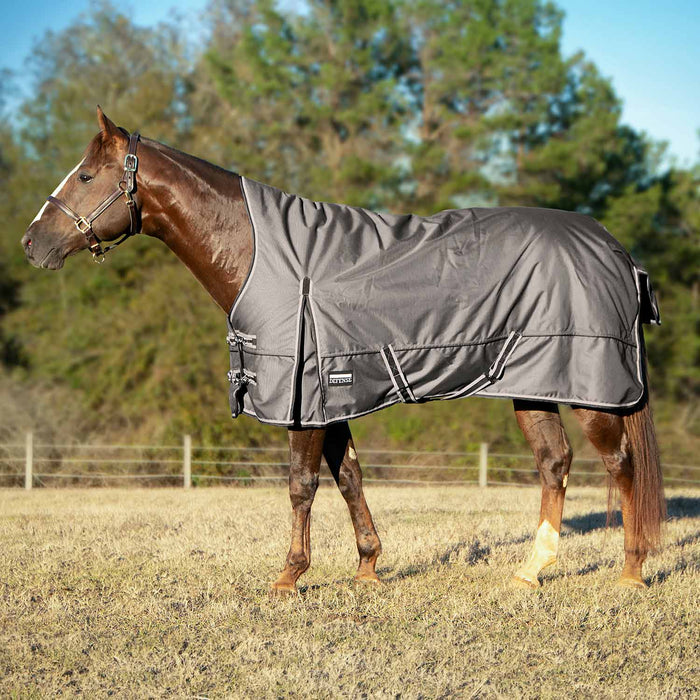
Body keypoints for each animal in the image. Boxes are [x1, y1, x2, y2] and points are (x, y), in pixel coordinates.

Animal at [22, 108, 666, 592]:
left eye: (85, 176)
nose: (32, 243)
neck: (263, 256)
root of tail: (616, 251)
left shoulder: (303, 398)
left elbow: (301, 484)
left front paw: (289, 577)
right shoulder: (332, 397)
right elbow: (349, 477)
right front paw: (367, 567)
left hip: (591, 388)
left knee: (621, 465)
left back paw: (631, 573)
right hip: (532, 385)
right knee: (554, 463)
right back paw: (530, 572)